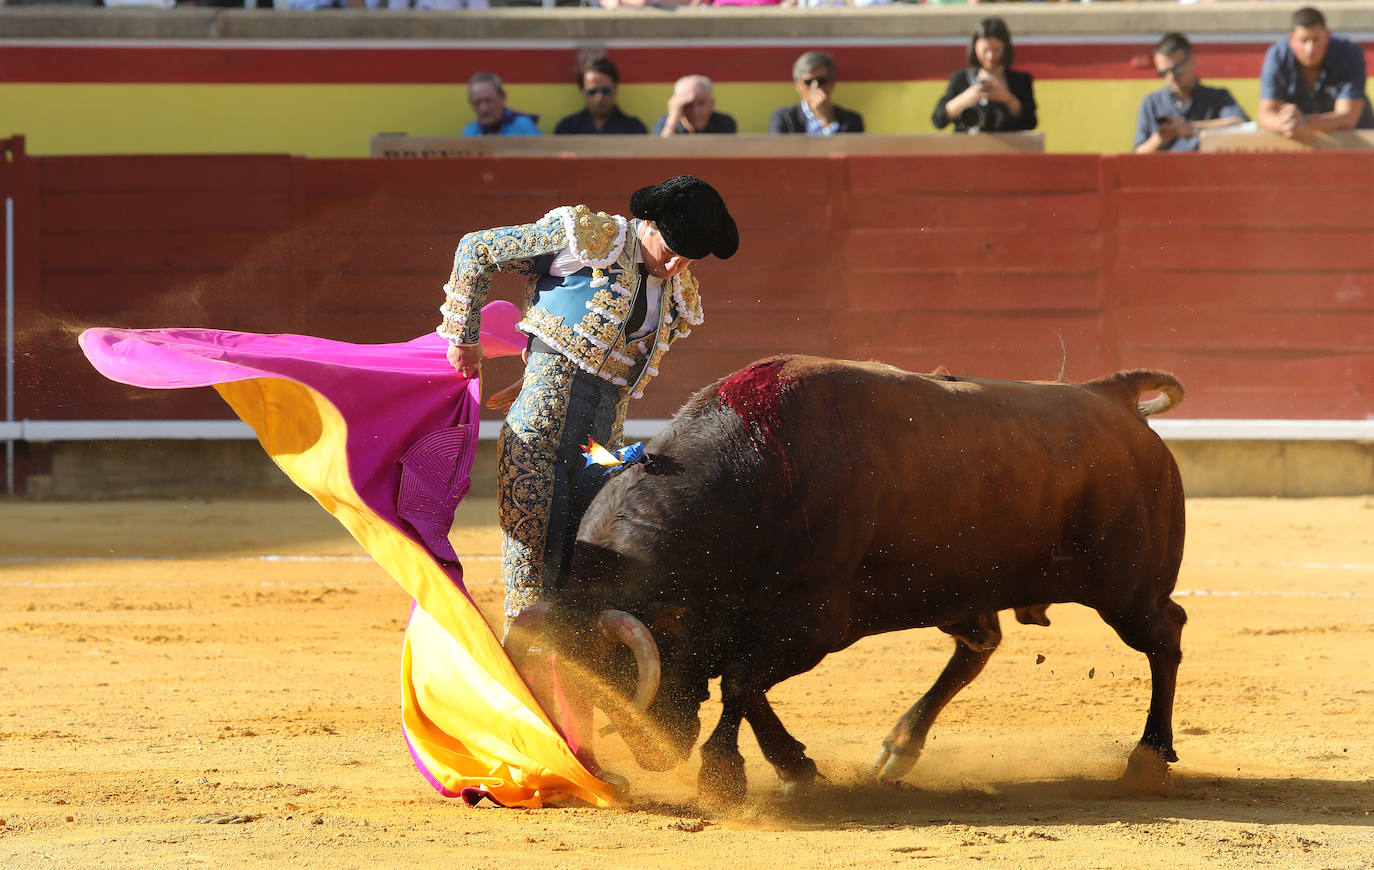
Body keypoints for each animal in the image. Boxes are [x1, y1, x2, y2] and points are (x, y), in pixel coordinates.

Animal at [511, 354, 1187, 802]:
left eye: (627, 671)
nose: (655, 754)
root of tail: (1112, 397)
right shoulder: (754, 627)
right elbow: (745, 685)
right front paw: (792, 766)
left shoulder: (814, 623)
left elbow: (740, 683)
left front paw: (725, 777)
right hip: (962, 588)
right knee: (978, 647)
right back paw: (899, 749)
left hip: (1130, 590)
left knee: (1165, 637)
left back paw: (1147, 759)